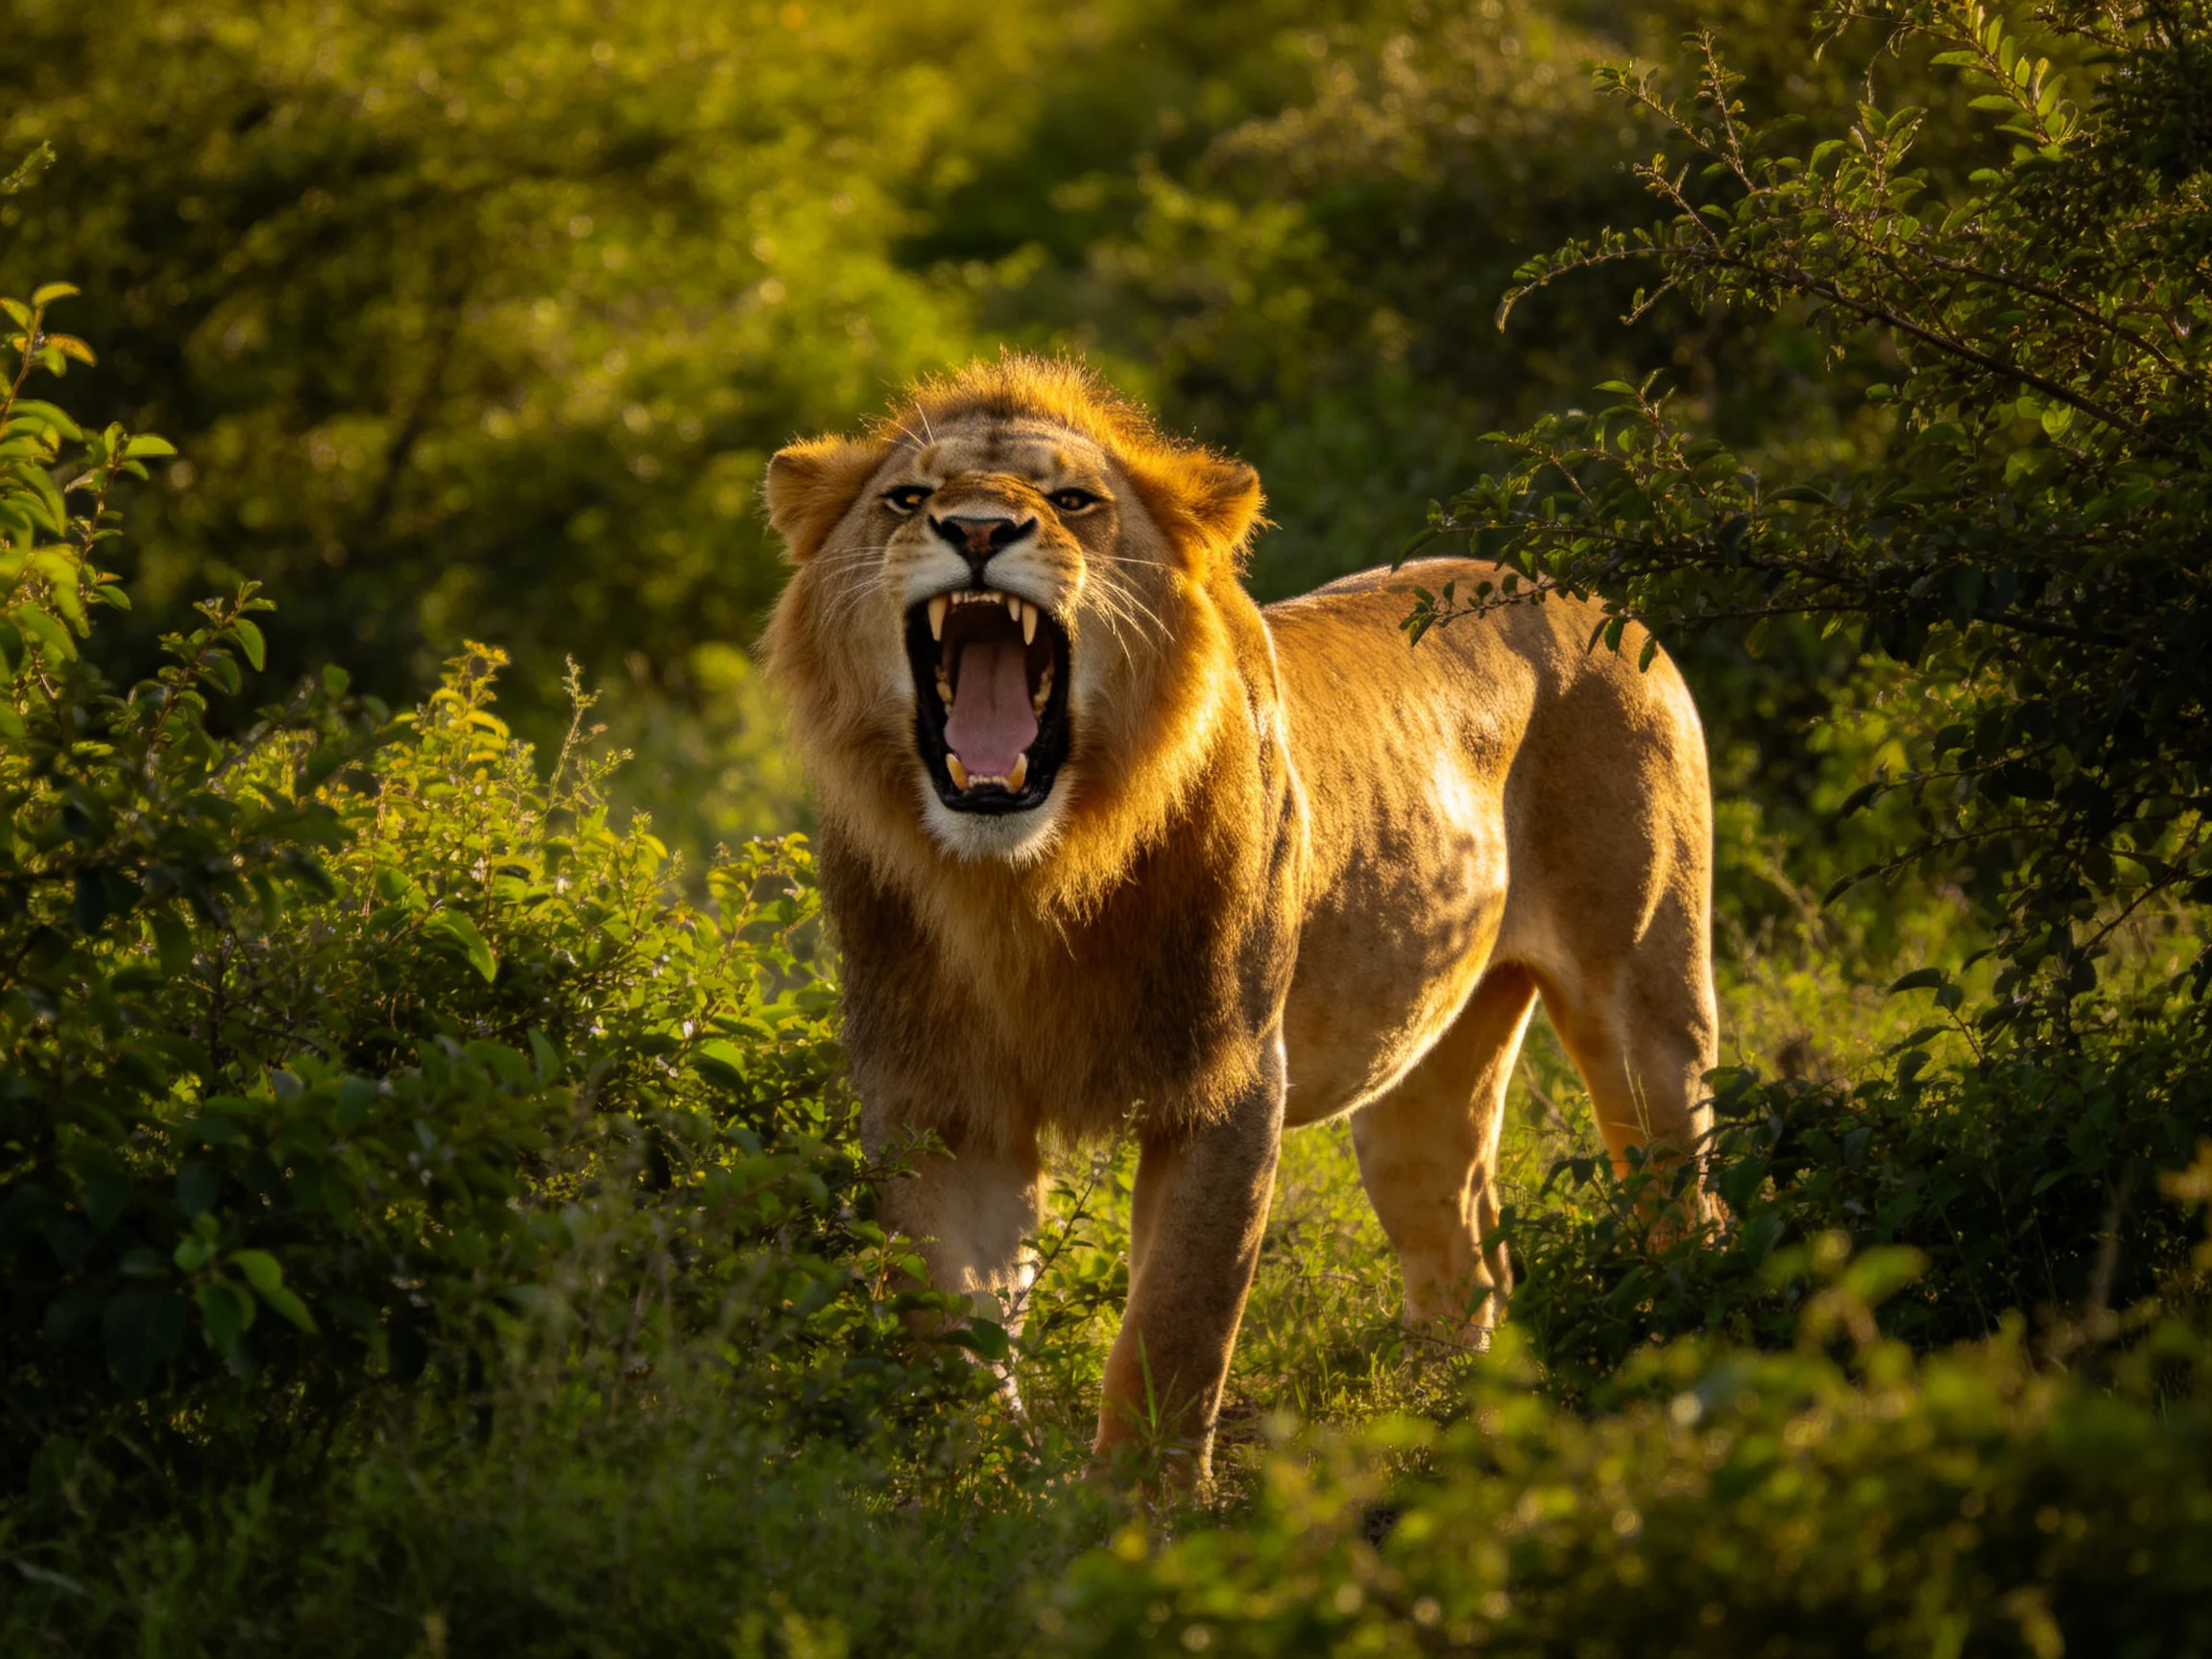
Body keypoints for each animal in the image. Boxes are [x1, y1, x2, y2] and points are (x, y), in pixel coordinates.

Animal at [762, 356, 1716, 1480]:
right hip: (1423, 1070)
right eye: (908, 499)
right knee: (1463, 1244)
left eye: (1073, 501)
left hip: (1648, 1006)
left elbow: (1178, 1320)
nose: (981, 530)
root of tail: (1592, 596)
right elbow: (950, 1320)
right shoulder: (937, 1101)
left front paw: (1139, 1505)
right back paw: (1446, 1425)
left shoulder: (1226, 1081)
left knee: (1686, 1193)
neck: (1022, 886)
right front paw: (975, 1484)